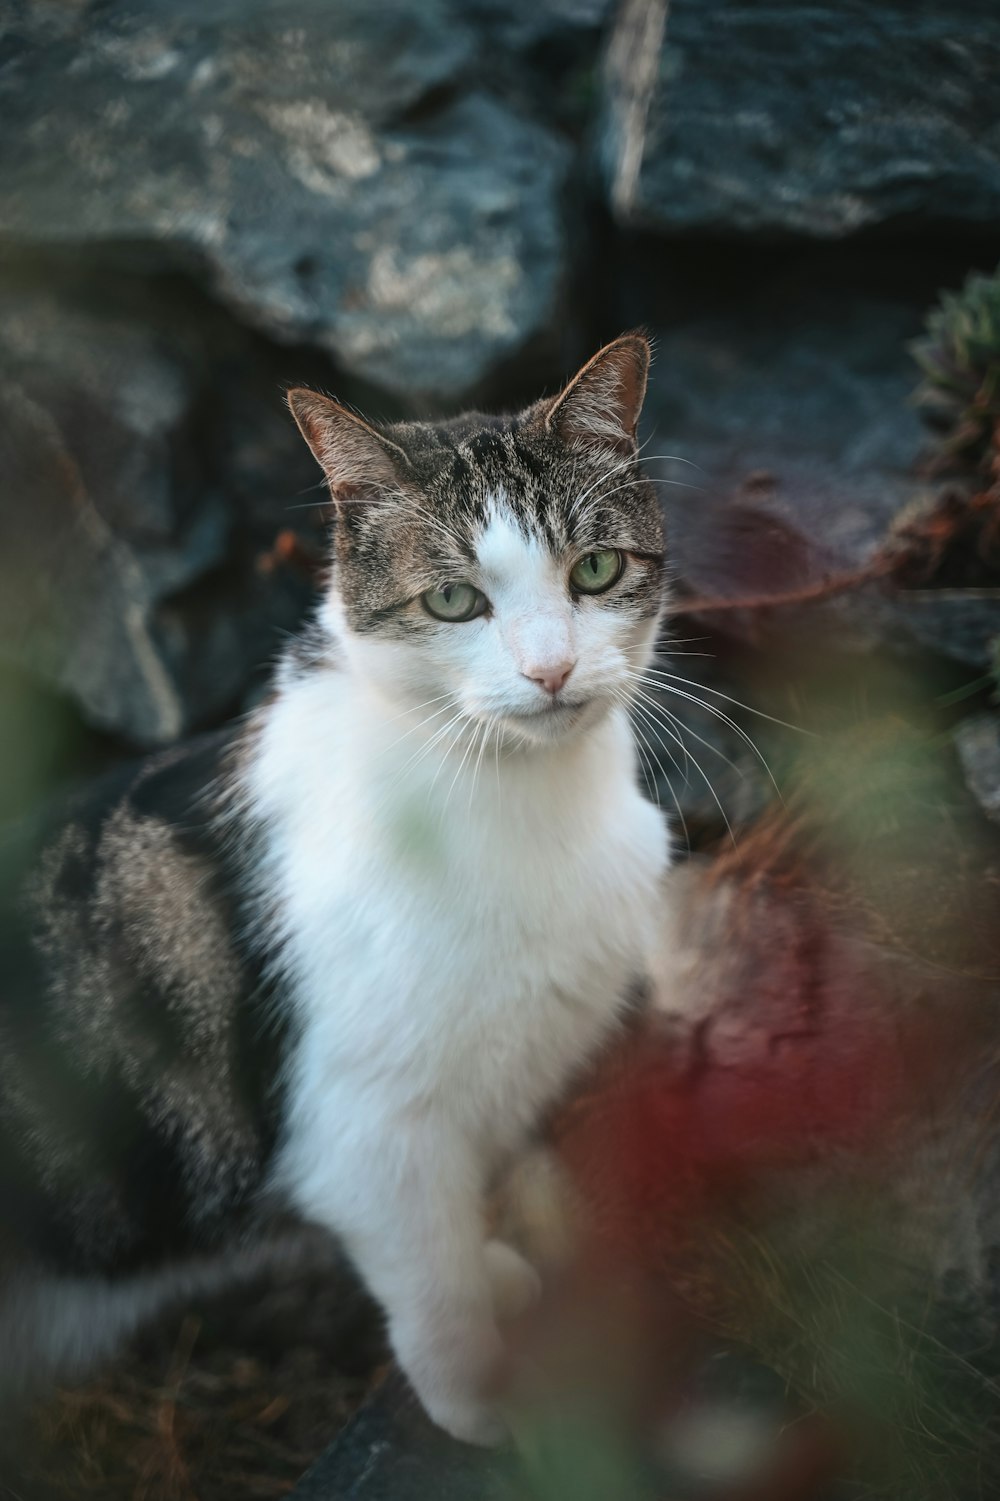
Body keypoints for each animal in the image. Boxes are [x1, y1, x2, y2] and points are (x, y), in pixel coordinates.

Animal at [1, 331, 669, 1440]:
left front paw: (498, 1270)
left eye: (597, 569)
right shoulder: (366, 1133)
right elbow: (432, 1277)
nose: (551, 671)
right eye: (453, 599)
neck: (524, 799)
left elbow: (467, 1215)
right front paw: (479, 1398)